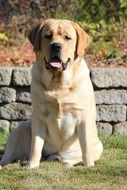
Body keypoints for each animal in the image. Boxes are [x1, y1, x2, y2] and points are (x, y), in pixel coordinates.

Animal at [0, 18, 102, 168]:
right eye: (48, 36)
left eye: (67, 37)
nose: (56, 46)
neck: (58, 84)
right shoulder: (39, 117)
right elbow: (36, 145)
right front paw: (32, 165)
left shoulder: (83, 117)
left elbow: (86, 147)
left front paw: (89, 166)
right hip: (21, 128)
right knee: (7, 155)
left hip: (98, 146)